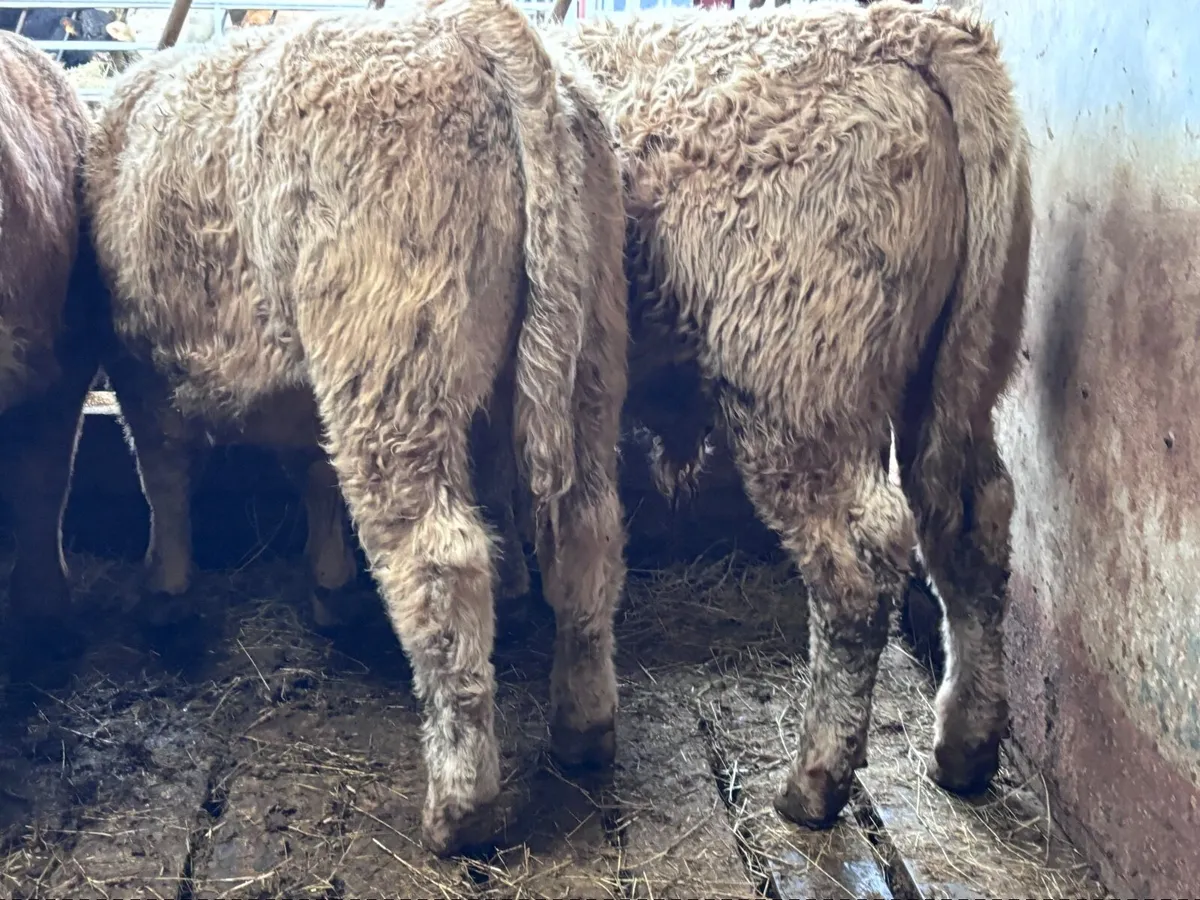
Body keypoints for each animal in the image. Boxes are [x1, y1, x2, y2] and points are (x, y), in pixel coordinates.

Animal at [84, 0, 628, 856]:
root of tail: (478, 29)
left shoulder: (139, 361)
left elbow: (163, 476)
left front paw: (166, 589)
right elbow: (313, 473)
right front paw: (329, 583)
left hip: (391, 364)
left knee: (441, 560)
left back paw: (460, 806)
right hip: (588, 356)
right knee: (586, 534)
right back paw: (584, 728)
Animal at [548, 0, 1032, 829]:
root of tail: (916, 29)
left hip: (799, 389)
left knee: (858, 567)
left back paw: (815, 782)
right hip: (960, 374)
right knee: (971, 522)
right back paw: (966, 746)